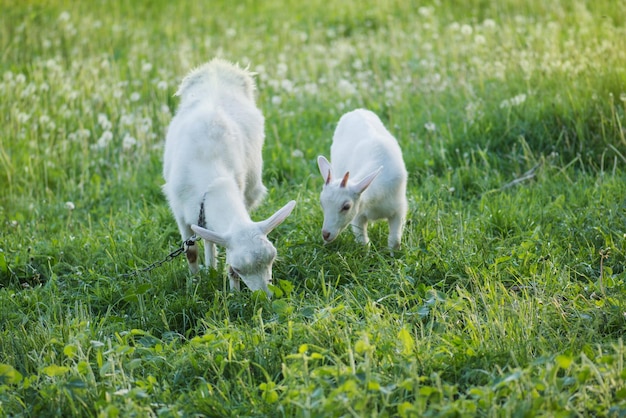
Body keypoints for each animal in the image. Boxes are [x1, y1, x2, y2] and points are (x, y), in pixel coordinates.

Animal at [162, 58, 296, 298]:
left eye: (272, 259)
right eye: (241, 267)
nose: (266, 297)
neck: (212, 180)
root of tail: (216, 64)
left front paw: (234, 294)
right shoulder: (179, 210)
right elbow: (190, 251)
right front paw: (195, 283)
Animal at [314, 108, 408, 251]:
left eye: (346, 206)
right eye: (321, 203)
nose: (325, 234)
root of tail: (356, 110)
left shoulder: (398, 208)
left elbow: (395, 241)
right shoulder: (359, 214)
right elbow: (363, 242)